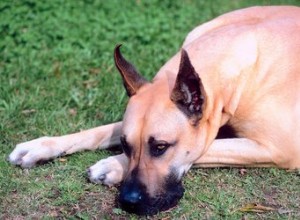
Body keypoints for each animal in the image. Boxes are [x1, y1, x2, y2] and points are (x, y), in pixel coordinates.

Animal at [8, 6, 300, 216]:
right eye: (126, 145)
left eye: (160, 147)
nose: (128, 201)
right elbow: (97, 131)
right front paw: (41, 146)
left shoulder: (280, 149)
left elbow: (207, 148)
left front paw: (112, 164)